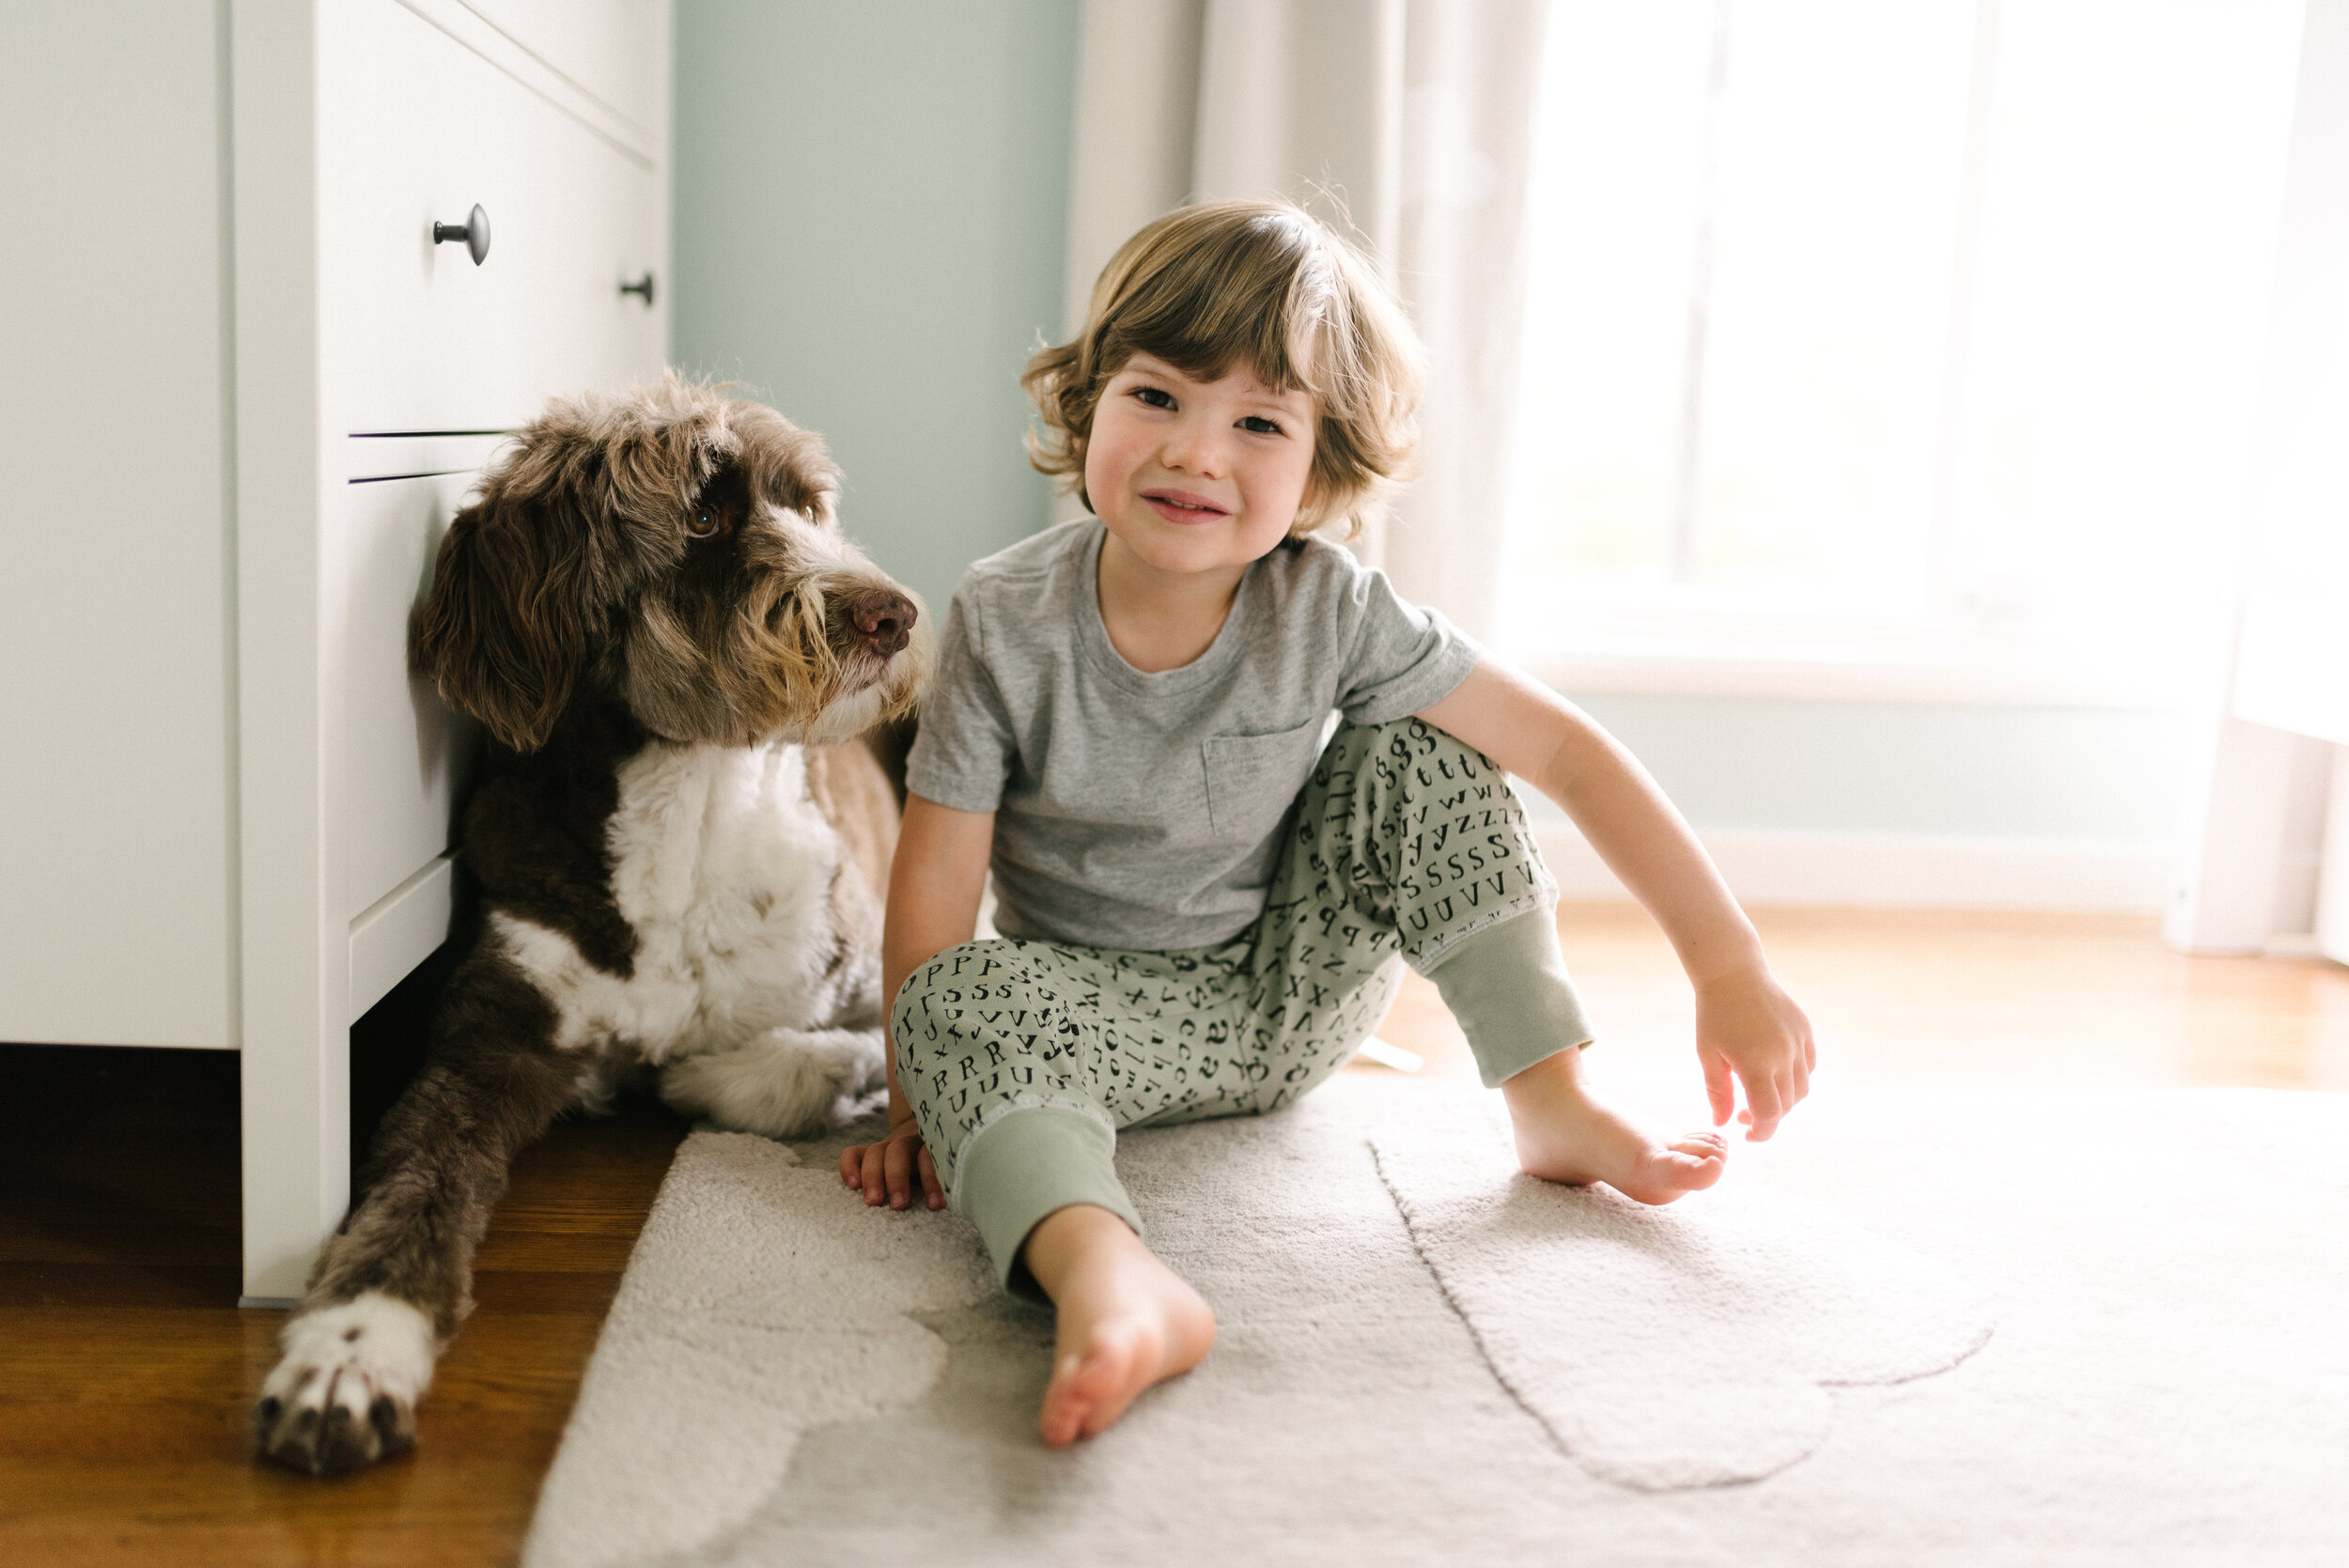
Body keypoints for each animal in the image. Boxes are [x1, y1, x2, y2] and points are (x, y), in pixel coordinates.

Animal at [250, 375, 926, 1474]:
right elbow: (411, 1182)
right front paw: (348, 1350)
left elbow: (826, 1053)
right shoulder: (488, 1045)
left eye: (810, 506)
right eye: (705, 515)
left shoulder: (884, 967)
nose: (895, 613)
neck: (690, 804)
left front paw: (704, 1073)